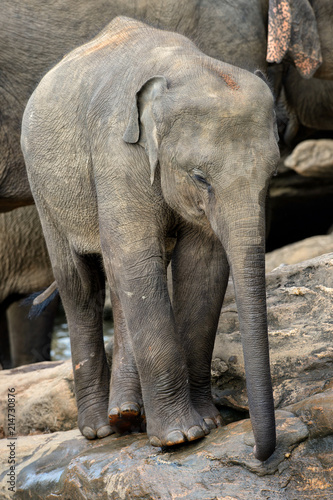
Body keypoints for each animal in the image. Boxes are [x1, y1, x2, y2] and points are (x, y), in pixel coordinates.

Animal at [21, 15, 280, 460]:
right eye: (200, 178)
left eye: (272, 176)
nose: (256, 451)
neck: (184, 67)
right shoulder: (117, 153)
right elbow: (136, 259)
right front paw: (181, 437)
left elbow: (203, 268)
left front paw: (208, 423)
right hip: (43, 188)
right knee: (81, 285)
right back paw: (99, 430)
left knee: (117, 281)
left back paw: (125, 417)